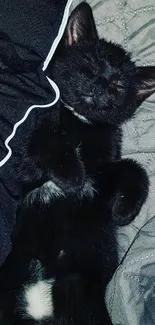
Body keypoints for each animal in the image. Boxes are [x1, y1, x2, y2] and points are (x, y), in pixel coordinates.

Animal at [0, 2, 155, 324]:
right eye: (90, 66)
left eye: (118, 85)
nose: (99, 86)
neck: (82, 123)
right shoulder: (29, 169)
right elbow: (48, 140)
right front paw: (71, 175)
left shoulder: (104, 173)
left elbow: (134, 169)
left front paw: (123, 211)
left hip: (82, 298)